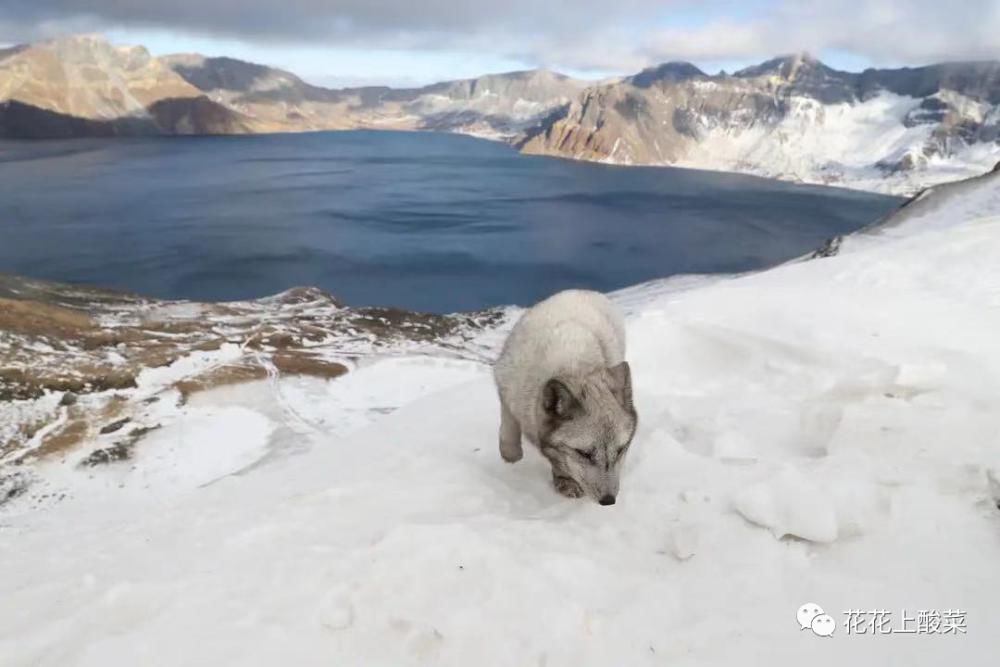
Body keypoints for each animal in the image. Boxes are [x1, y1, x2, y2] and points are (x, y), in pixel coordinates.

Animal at [494, 290, 640, 504]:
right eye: (584, 453)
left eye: (621, 450)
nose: (608, 500)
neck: (572, 366)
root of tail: (584, 291)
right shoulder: (505, 385)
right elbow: (509, 426)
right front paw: (510, 457)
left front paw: (564, 479)